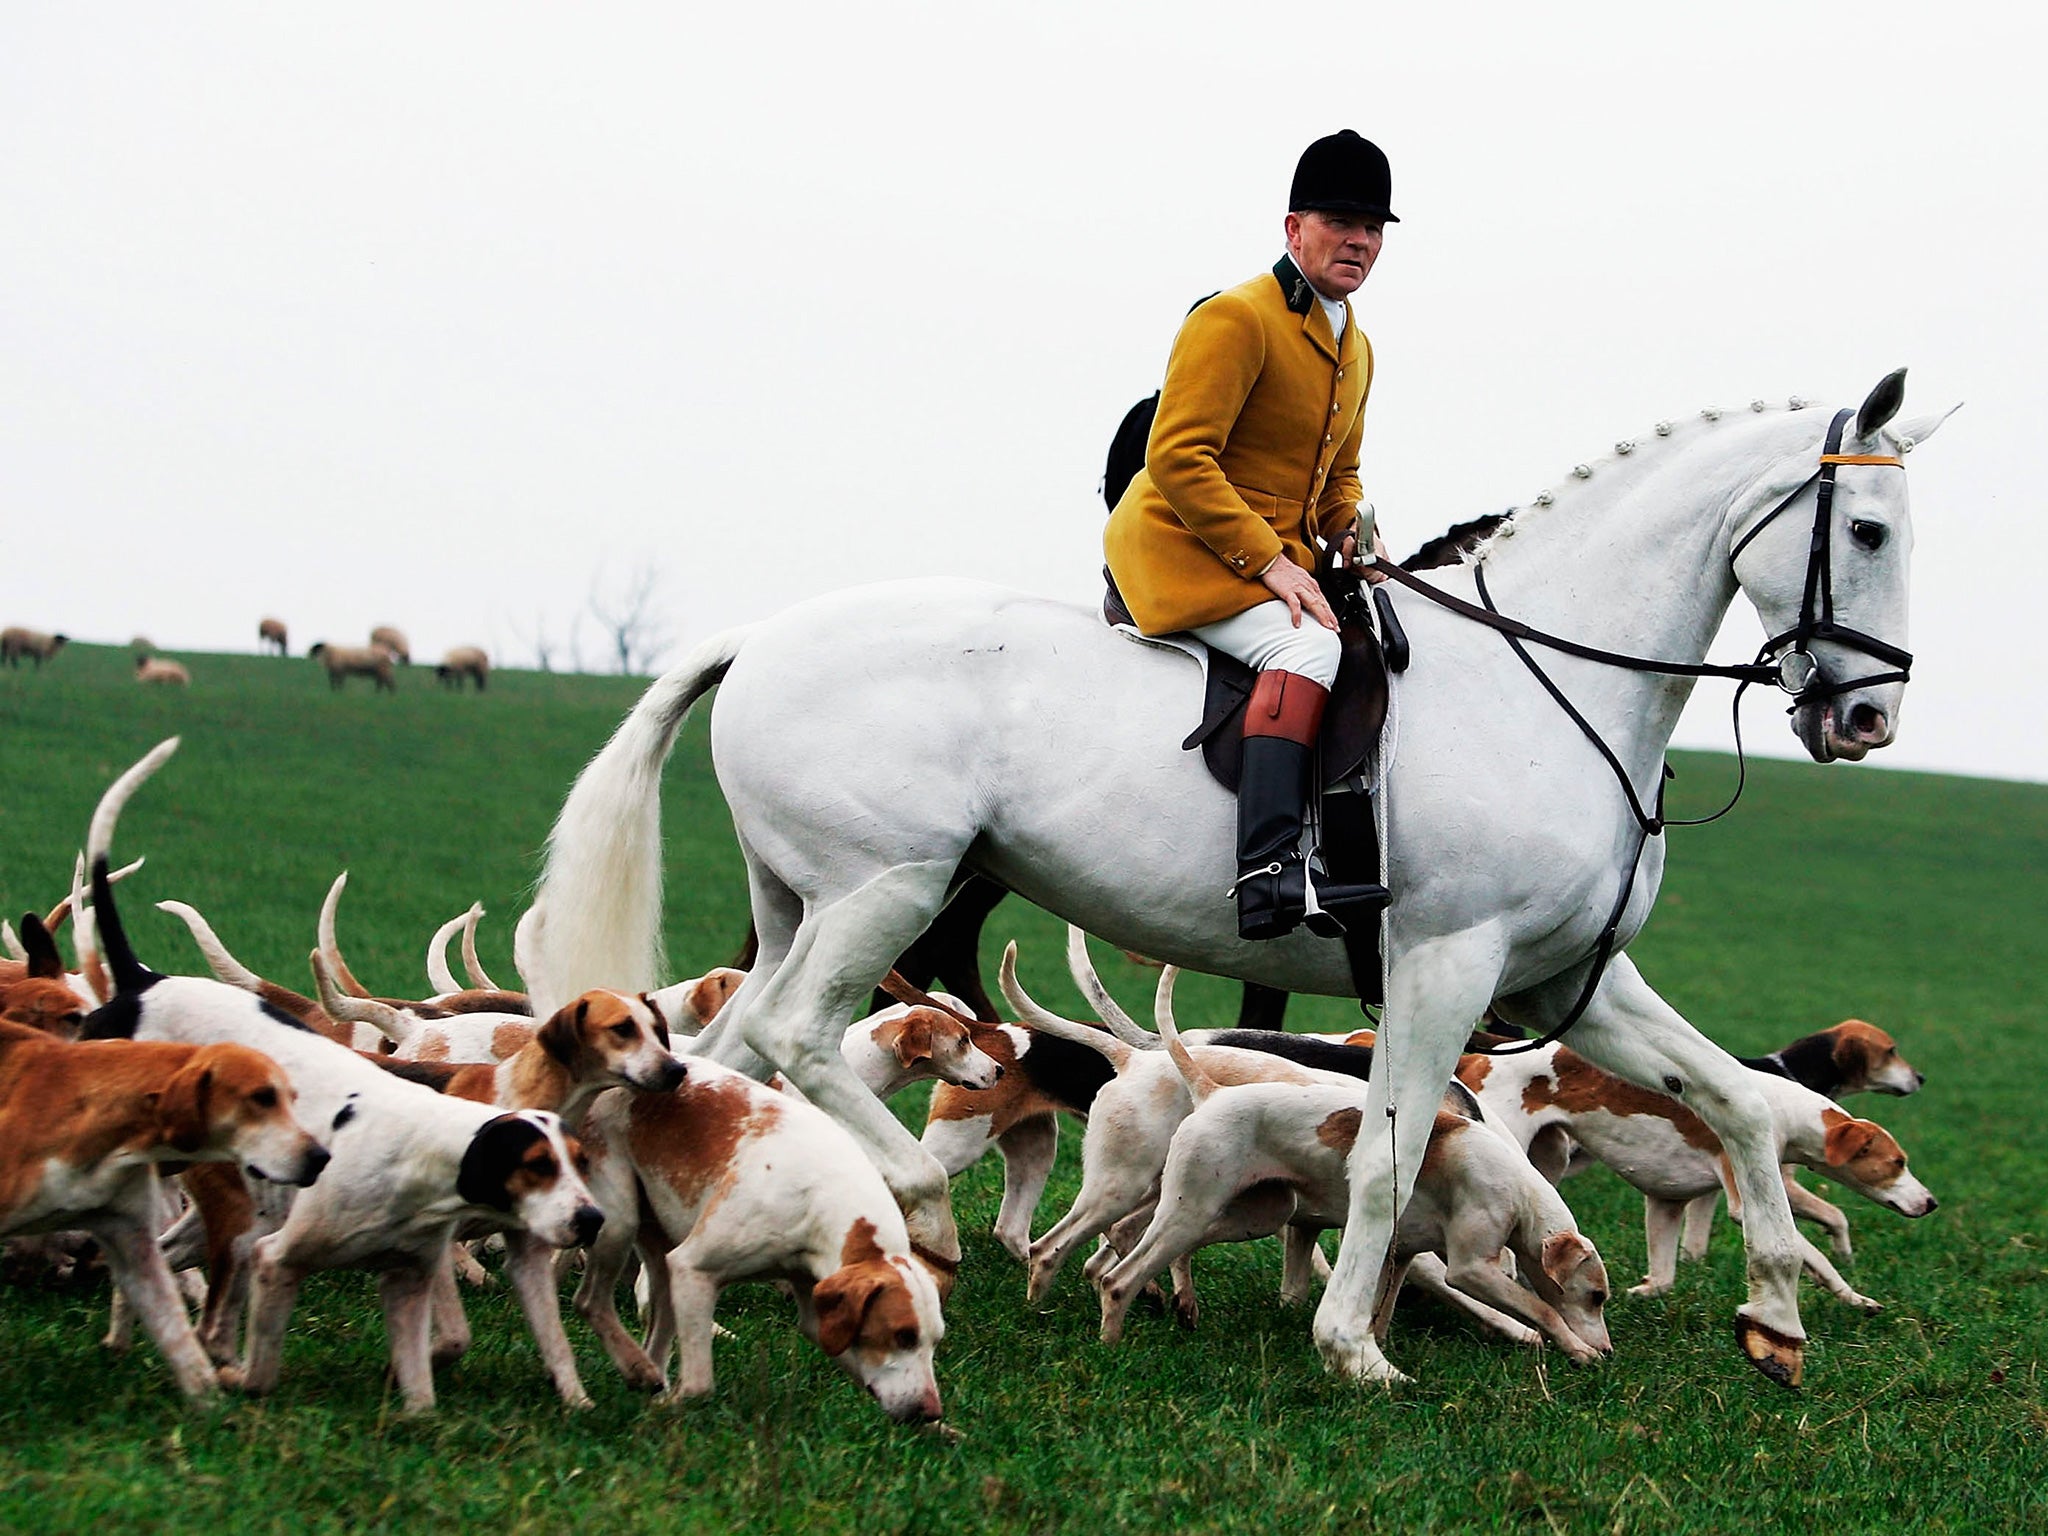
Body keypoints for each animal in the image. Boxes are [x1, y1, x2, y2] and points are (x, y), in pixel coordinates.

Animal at [532, 376, 1949, 1392]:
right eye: (1866, 529)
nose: (1865, 717)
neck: (1546, 688)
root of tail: (761, 634)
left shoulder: (1567, 981)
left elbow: (1735, 1105)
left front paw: (1772, 1312)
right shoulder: (1444, 965)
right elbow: (1384, 1155)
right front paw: (1350, 1345)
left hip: (800, 903)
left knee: (723, 1058)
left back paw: (678, 1300)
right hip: (888, 889)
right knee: (793, 1037)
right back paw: (917, 1218)